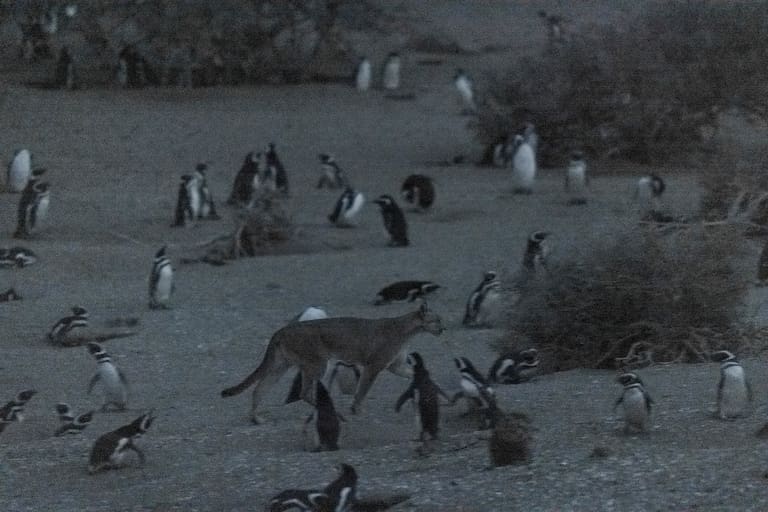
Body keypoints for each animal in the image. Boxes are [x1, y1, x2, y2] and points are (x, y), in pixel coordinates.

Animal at [221, 303, 444, 424]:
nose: (444, 329)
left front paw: (439, 392)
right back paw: (337, 414)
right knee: (304, 392)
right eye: (437, 321)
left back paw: (257, 419)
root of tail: (282, 329)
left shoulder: (396, 366)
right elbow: (362, 391)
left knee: (259, 389)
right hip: (318, 363)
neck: (406, 330)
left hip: (281, 366)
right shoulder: (374, 366)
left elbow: (420, 374)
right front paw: (356, 411)